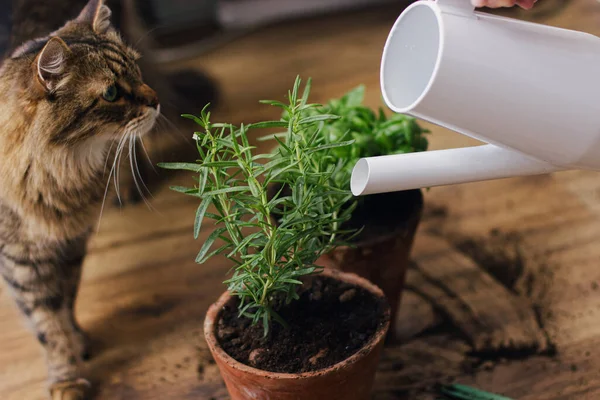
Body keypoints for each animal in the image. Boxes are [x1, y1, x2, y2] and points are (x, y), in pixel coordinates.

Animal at [0, 1, 164, 398]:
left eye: (136, 69)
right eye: (111, 94)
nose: (156, 102)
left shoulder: (73, 242)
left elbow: (67, 300)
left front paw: (76, 340)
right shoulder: (20, 262)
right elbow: (47, 325)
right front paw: (66, 376)